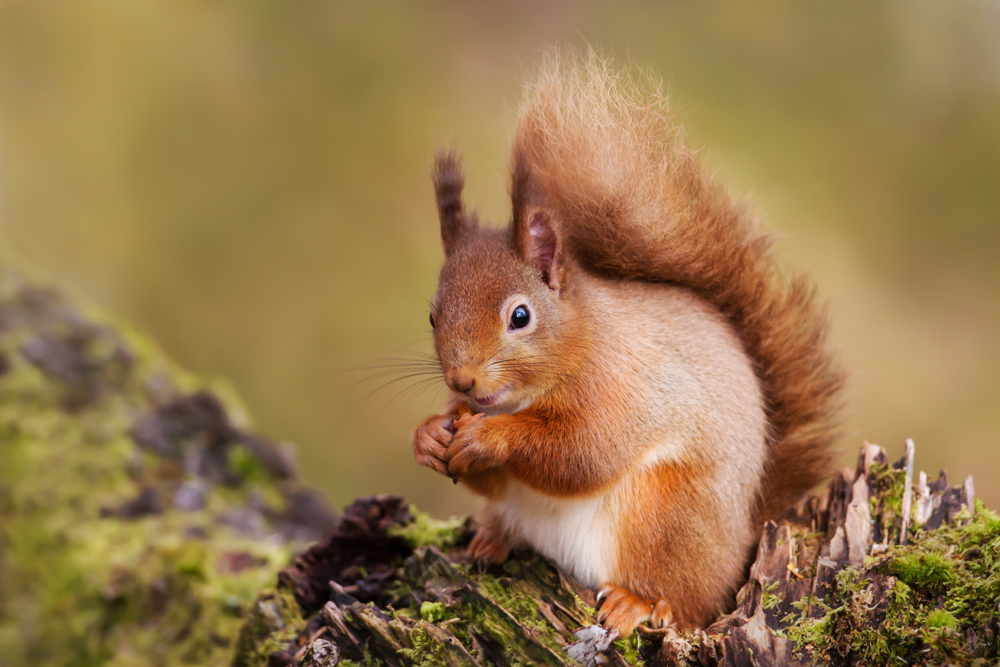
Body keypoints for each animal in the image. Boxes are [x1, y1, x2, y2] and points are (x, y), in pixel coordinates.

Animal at [408, 53, 844, 636]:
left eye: (520, 316)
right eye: (432, 316)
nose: (462, 380)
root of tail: (743, 542)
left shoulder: (621, 387)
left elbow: (583, 453)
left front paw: (488, 438)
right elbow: (495, 479)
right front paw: (429, 435)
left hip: (665, 516)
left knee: (682, 599)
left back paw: (635, 602)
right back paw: (490, 542)